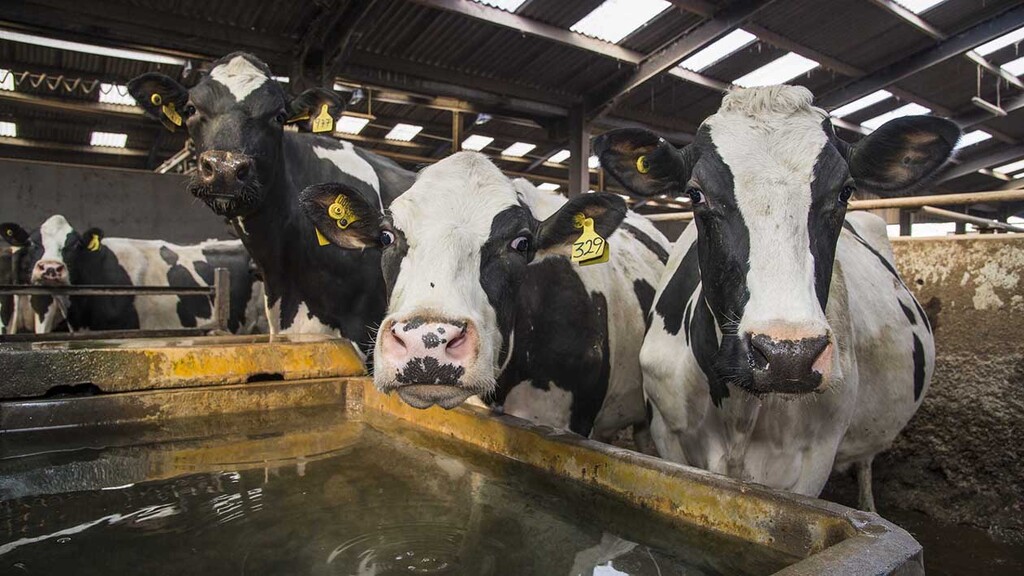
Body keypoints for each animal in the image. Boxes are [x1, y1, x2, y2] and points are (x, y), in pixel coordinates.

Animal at [594, 85, 955, 511]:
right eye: (695, 194)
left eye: (845, 191)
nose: (789, 356)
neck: (737, 409)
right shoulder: (668, 434)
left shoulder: (815, 459)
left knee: (866, 463)